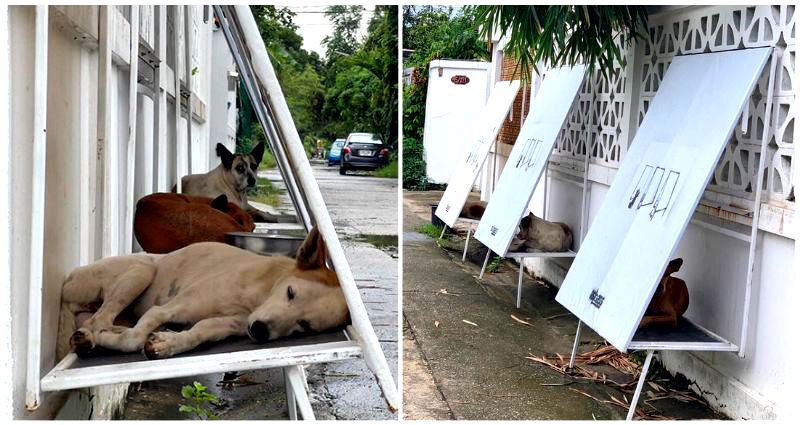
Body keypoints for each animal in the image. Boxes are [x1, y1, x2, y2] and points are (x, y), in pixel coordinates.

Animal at [57, 227, 348, 360]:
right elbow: (134, 340)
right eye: (290, 292)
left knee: (97, 323)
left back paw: (88, 338)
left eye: (305, 325)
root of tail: (68, 281)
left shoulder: (225, 325)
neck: (257, 295)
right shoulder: (164, 309)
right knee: (99, 321)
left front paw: (169, 342)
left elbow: (197, 334)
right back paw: (97, 336)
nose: (260, 331)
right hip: (141, 270)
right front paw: (119, 340)